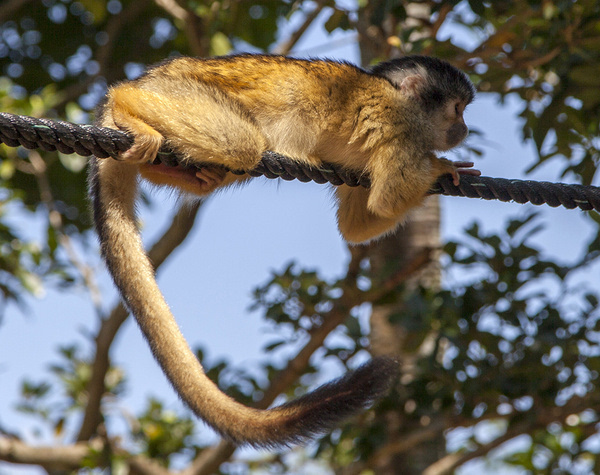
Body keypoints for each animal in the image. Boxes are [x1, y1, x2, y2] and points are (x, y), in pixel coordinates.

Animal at [86, 54, 478, 448]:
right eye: (457, 109)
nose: (464, 129)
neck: (398, 97)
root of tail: (151, 76)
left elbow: (357, 224)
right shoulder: (403, 128)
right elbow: (390, 195)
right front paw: (440, 166)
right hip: (178, 90)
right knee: (243, 144)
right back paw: (125, 104)